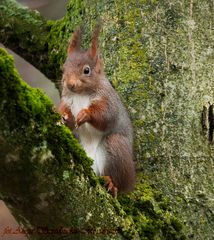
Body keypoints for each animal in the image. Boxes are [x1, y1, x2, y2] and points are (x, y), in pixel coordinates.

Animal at [57, 24, 135, 197]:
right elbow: (67, 116)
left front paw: (85, 114)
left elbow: (105, 117)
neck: (81, 94)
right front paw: (63, 116)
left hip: (115, 148)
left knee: (116, 179)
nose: (70, 84)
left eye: (87, 70)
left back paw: (111, 183)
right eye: (63, 69)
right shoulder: (67, 101)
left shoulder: (108, 101)